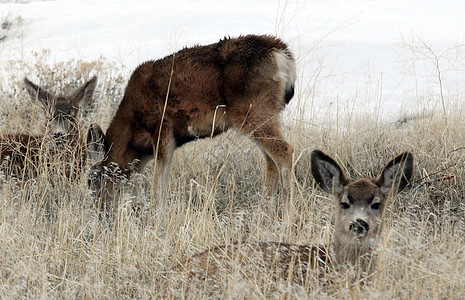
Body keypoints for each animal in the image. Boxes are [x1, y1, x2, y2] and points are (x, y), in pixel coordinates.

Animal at [89, 35, 296, 211]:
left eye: (94, 179)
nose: (100, 210)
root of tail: (282, 54)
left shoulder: (162, 129)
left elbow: (158, 183)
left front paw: (157, 217)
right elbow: (139, 180)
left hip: (253, 110)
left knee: (284, 151)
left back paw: (286, 216)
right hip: (264, 114)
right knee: (270, 160)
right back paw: (262, 210)